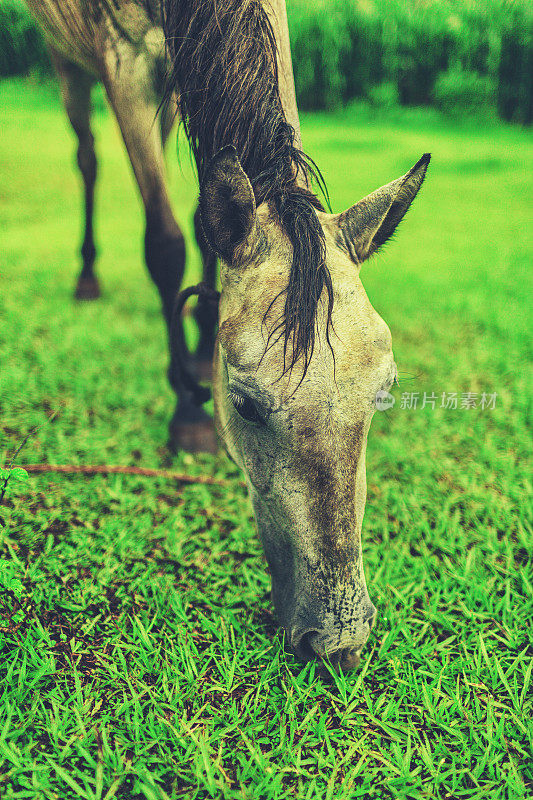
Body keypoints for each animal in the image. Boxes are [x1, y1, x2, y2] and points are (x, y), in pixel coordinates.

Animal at [27, 0, 430, 668]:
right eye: (244, 405)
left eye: (384, 393)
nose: (339, 639)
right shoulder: (121, 58)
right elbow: (164, 242)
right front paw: (189, 415)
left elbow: (202, 221)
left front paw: (199, 351)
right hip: (68, 61)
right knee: (87, 155)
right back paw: (89, 279)